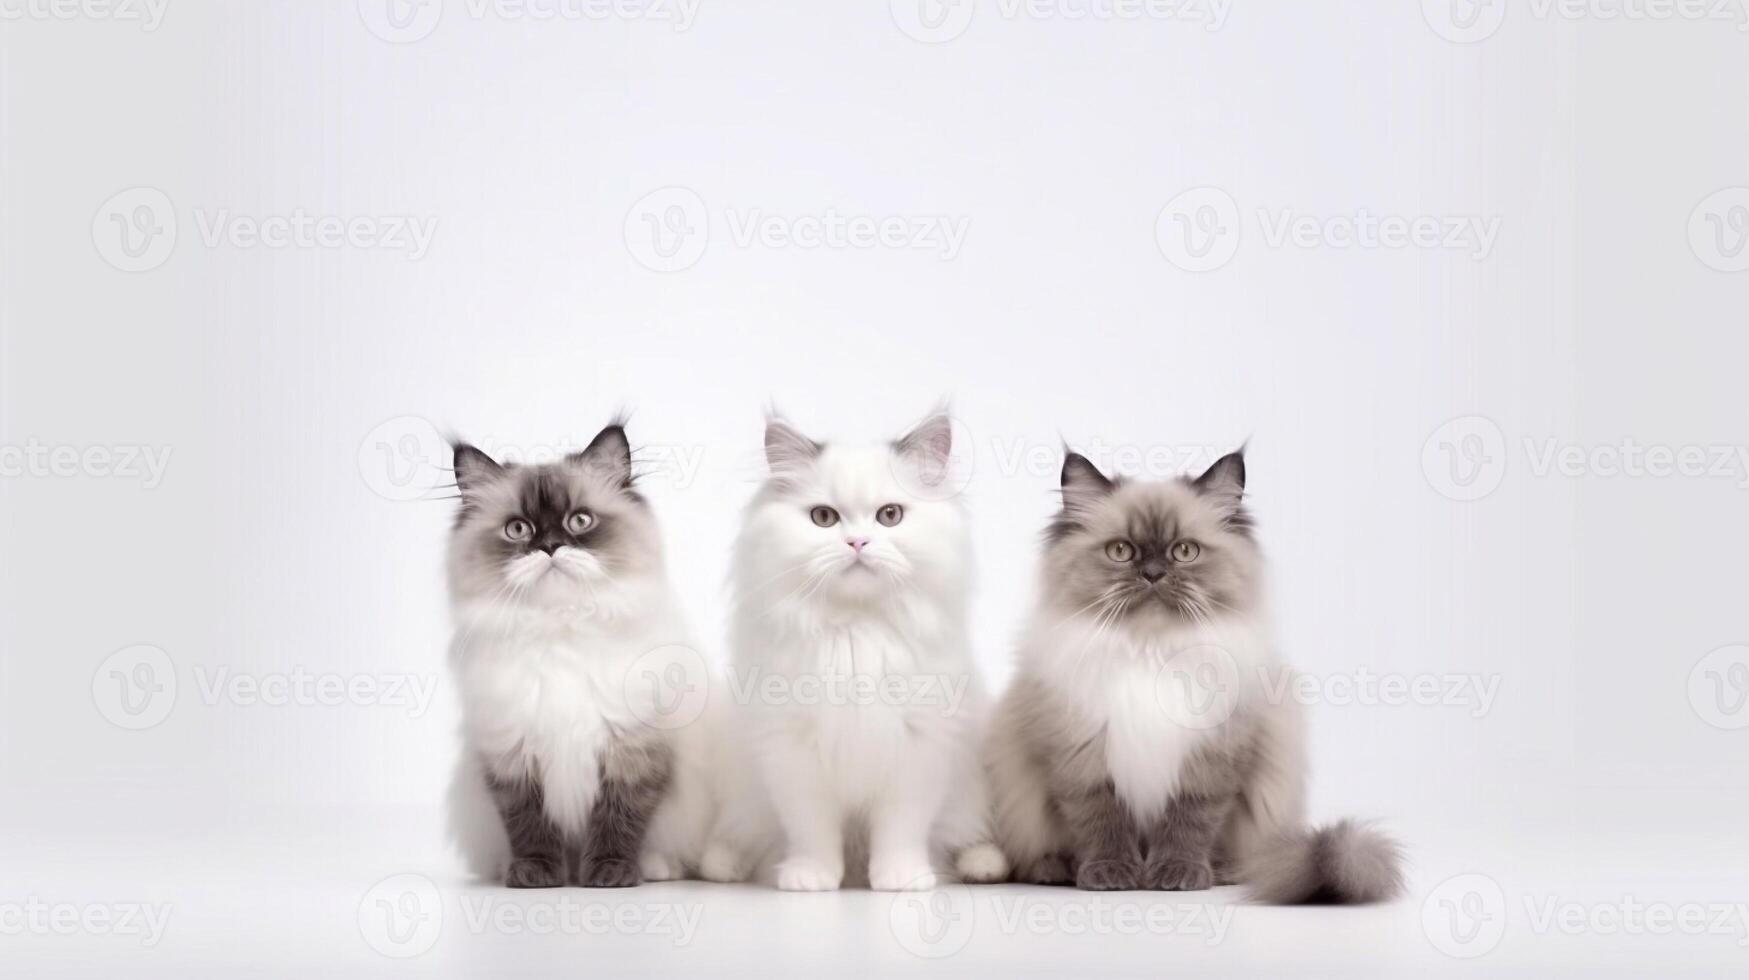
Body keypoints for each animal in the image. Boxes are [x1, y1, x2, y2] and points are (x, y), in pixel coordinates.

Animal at [440, 421, 748, 889]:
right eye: (518, 530)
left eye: (579, 521)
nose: (550, 546)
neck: (561, 631)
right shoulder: (512, 758)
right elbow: (529, 827)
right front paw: (536, 874)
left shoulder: (633, 751)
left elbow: (618, 821)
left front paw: (610, 873)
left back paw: (654, 868)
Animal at [986, 448, 1406, 903]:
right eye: (1121, 551)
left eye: (1184, 551)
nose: (1153, 574)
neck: (1150, 650)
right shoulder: (1082, 759)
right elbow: (1101, 823)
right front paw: (1111, 874)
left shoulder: (1210, 759)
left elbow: (1190, 823)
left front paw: (1178, 874)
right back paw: (1059, 870)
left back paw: (1221, 872)